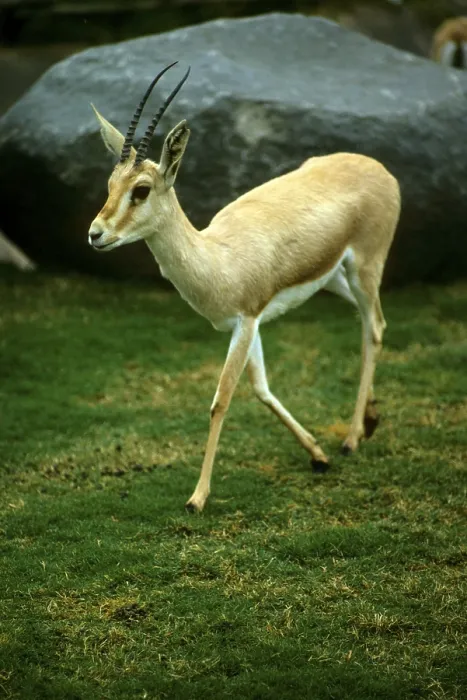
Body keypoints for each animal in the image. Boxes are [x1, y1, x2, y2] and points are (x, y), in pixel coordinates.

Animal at [88, 62, 401, 513]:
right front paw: (316, 454)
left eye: (141, 190)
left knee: (373, 327)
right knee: (371, 321)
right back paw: (369, 422)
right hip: (335, 280)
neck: (218, 260)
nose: (95, 234)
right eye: (111, 186)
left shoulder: (247, 321)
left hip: (365, 268)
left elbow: (222, 399)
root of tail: (378, 167)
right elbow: (261, 388)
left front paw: (197, 497)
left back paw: (353, 438)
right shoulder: (247, 326)